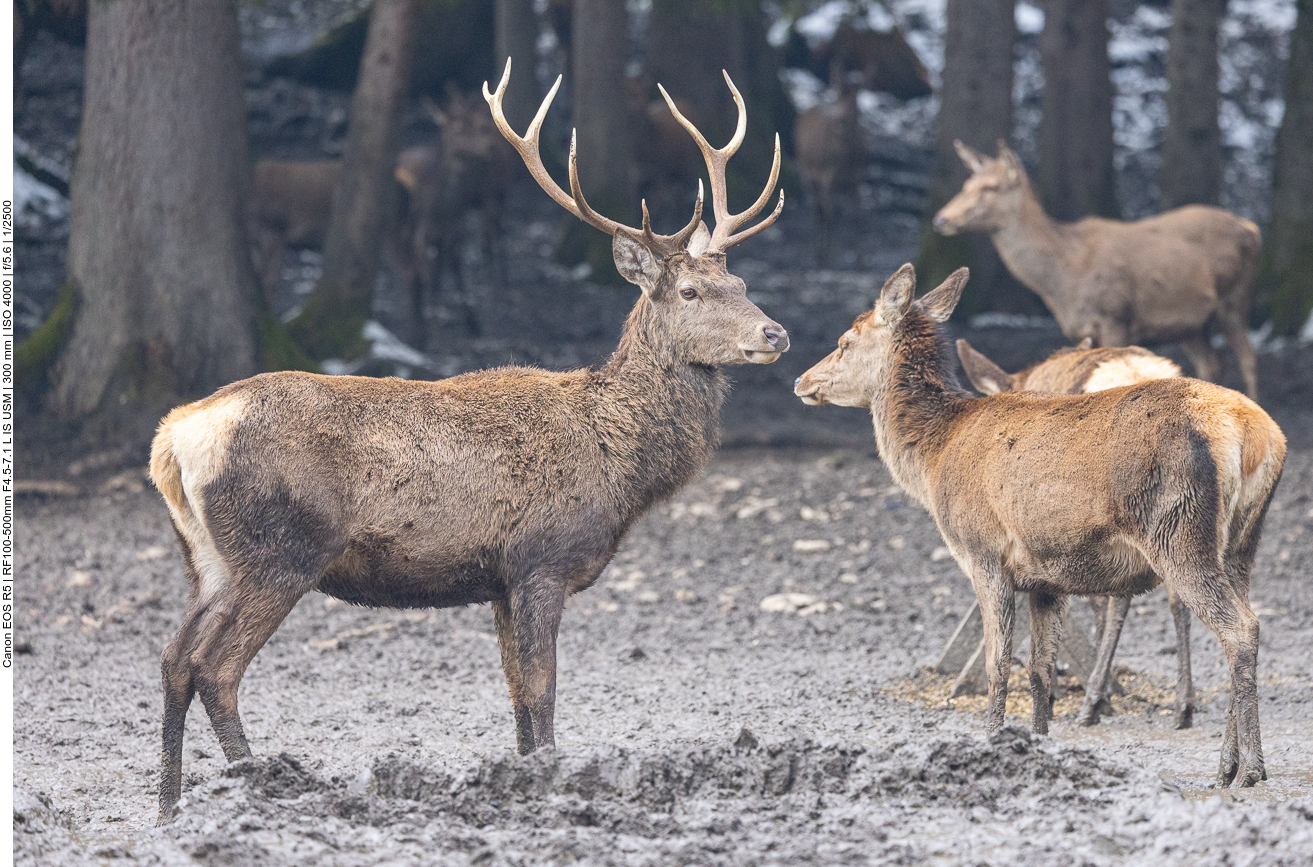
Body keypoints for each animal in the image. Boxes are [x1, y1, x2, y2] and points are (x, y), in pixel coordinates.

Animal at [153, 59, 787, 819]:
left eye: (740, 280)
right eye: (690, 292)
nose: (775, 333)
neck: (622, 465)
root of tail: (175, 436)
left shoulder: (498, 579)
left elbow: (516, 698)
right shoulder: (541, 558)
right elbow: (543, 692)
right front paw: (553, 784)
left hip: (208, 555)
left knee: (172, 657)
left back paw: (167, 807)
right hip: (281, 547)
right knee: (214, 666)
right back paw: (257, 783)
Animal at [934, 142, 1260, 399]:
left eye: (991, 187)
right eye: (966, 185)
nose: (941, 219)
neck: (1064, 281)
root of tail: (1251, 228)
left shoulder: (1115, 317)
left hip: (1235, 295)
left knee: (1248, 358)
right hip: (1190, 324)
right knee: (1210, 362)